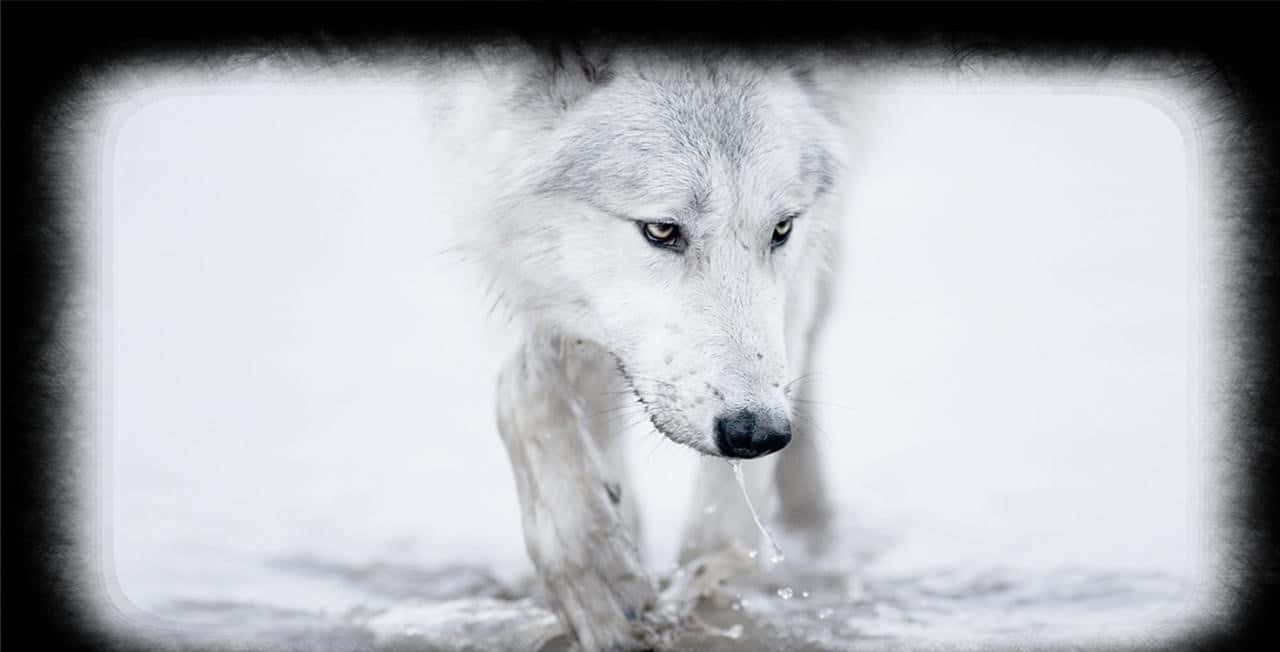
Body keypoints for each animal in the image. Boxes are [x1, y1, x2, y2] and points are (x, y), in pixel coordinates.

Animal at [432, 41, 860, 650]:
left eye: (781, 229)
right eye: (661, 230)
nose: (758, 433)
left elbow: (723, 520)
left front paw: (709, 592)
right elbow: (527, 381)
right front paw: (597, 574)